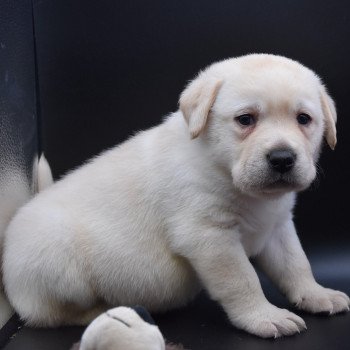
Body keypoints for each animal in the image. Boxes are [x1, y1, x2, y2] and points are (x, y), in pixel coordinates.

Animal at [3, 54, 350, 336]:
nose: (282, 158)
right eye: (245, 119)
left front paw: (316, 294)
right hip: (59, 260)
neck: (225, 171)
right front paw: (264, 317)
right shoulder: (210, 236)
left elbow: (296, 264)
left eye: (303, 119)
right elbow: (243, 279)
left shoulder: (278, 227)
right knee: (49, 315)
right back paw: (105, 310)